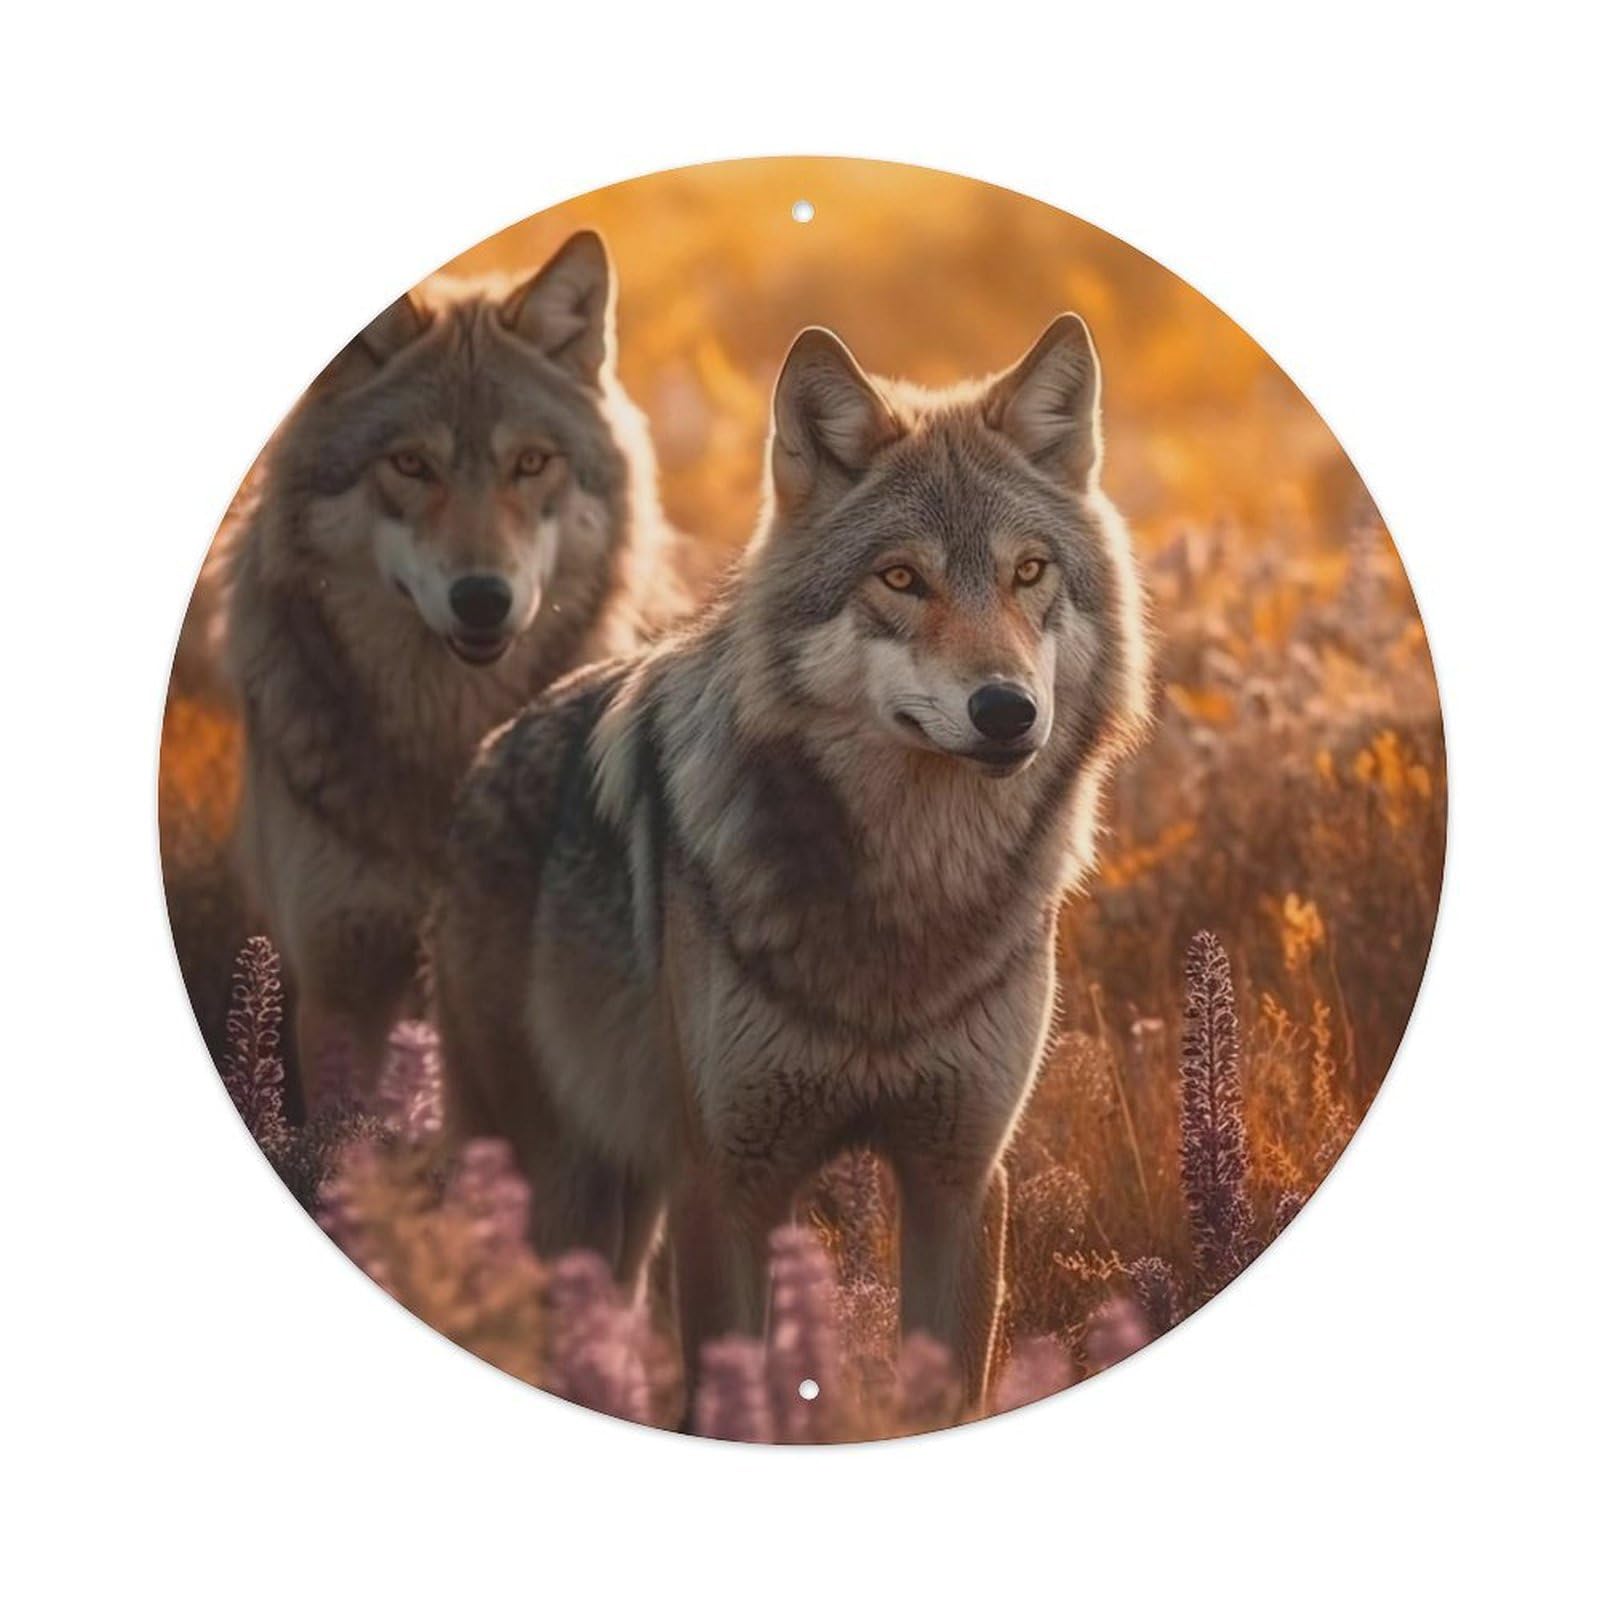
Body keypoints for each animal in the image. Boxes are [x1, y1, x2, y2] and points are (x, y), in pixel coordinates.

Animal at [429, 314, 1150, 1408]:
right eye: (901, 578)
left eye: (1028, 573)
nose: (1005, 710)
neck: (906, 902)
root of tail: (491, 748)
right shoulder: (729, 1185)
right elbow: (732, 1396)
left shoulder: (958, 1181)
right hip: (556, 1184)